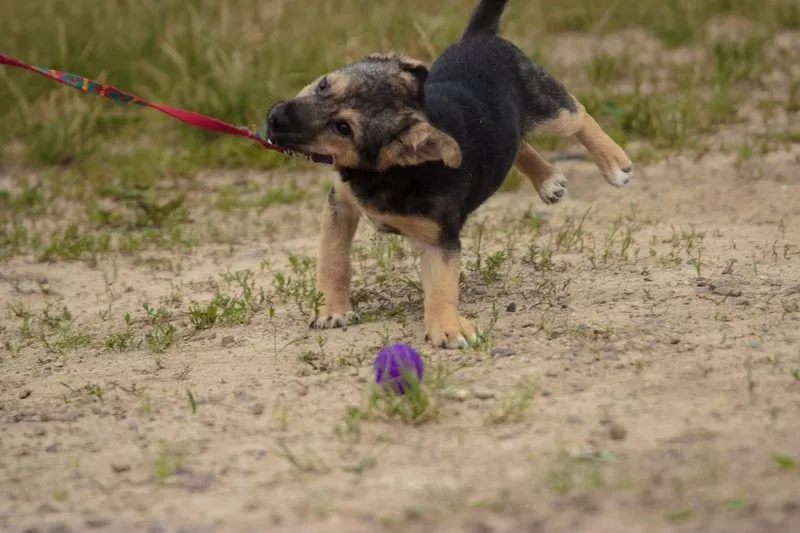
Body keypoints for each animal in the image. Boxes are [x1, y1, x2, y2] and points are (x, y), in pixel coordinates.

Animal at [266, 0, 636, 350]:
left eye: (342, 128)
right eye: (323, 84)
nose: (273, 119)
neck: (387, 170)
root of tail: (478, 37)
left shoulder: (439, 240)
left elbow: (442, 285)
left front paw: (447, 328)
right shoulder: (340, 205)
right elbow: (333, 261)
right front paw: (332, 310)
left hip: (547, 107)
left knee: (578, 112)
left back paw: (614, 163)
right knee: (517, 141)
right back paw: (547, 179)